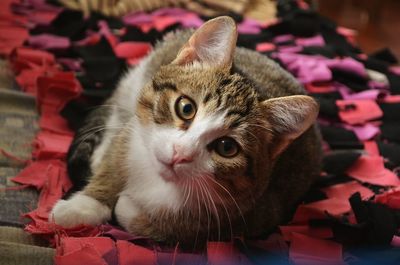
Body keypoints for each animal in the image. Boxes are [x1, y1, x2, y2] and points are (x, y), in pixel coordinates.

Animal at [50, 16, 322, 246]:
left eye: (227, 147)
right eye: (186, 108)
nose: (180, 153)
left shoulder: (252, 214)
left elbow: (180, 231)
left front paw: (131, 209)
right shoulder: (131, 135)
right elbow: (115, 161)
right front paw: (84, 205)